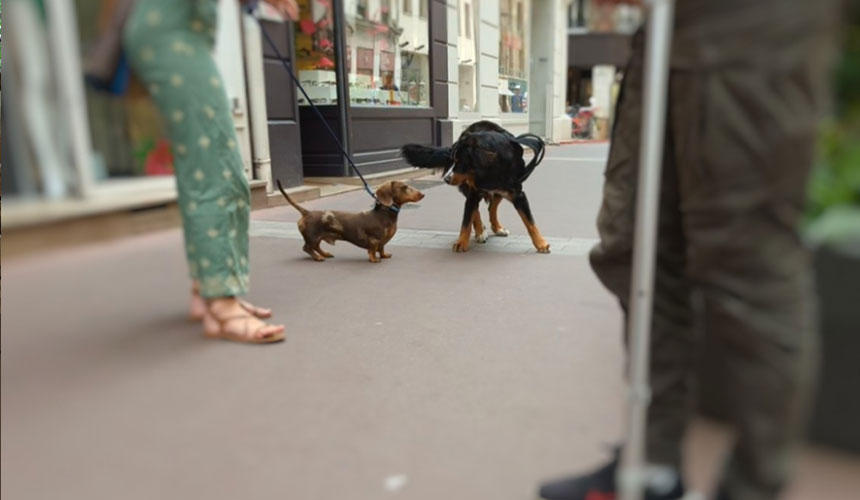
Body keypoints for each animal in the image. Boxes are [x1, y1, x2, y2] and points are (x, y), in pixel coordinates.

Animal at [276, 182, 424, 264]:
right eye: (404, 187)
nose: (422, 194)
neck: (385, 213)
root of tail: (307, 212)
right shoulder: (374, 239)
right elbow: (373, 250)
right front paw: (374, 259)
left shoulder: (382, 241)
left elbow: (382, 248)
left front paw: (384, 255)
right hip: (312, 236)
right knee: (307, 248)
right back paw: (318, 258)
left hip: (317, 237)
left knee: (316, 247)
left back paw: (324, 254)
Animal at [400, 121, 548, 254]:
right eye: (452, 161)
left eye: (460, 162)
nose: (446, 179)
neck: (490, 171)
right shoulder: (473, 192)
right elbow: (466, 221)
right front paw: (461, 242)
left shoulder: (518, 194)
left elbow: (530, 221)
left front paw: (540, 243)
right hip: (470, 190)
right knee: (476, 210)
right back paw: (480, 232)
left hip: (499, 192)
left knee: (492, 207)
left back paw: (497, 228)